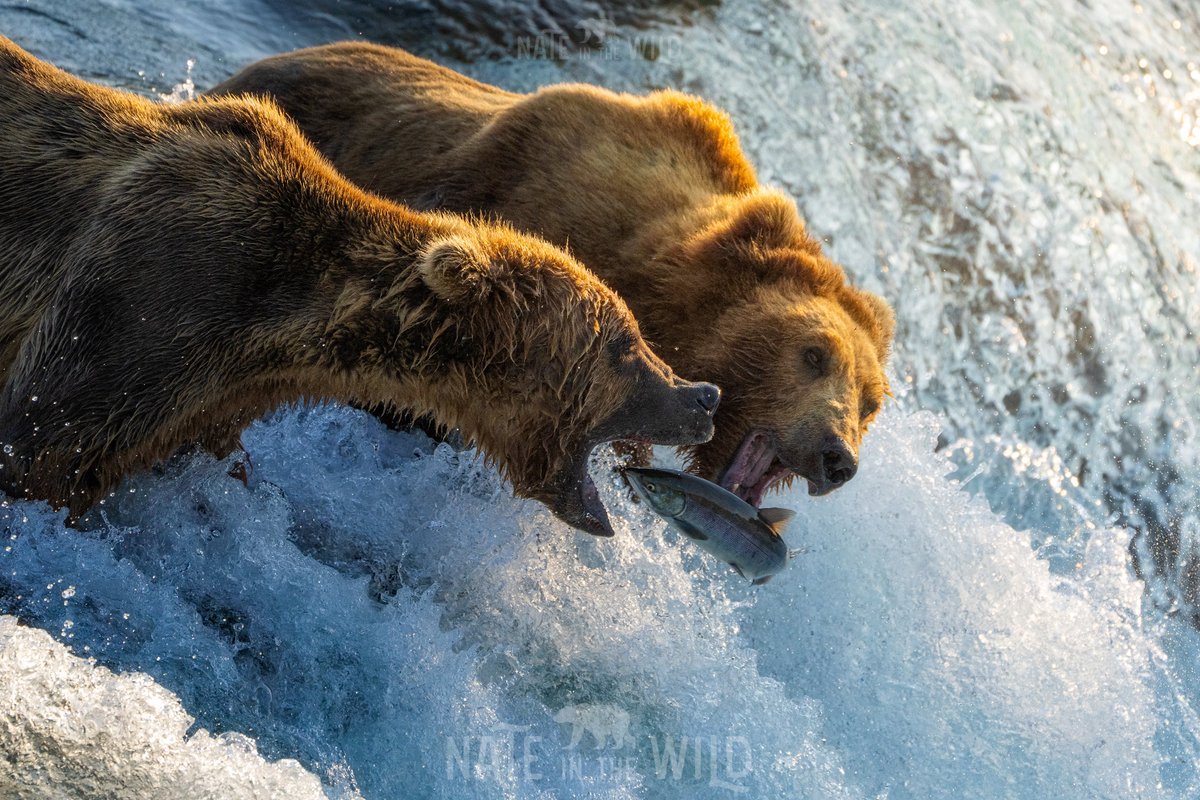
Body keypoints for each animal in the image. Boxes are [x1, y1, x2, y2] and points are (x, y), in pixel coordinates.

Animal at [0, 36, 721, 537]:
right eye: (624, 347)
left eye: (636, 333)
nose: (703, 395)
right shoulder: (147, 297)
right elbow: (38, 448)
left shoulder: (212, 394)